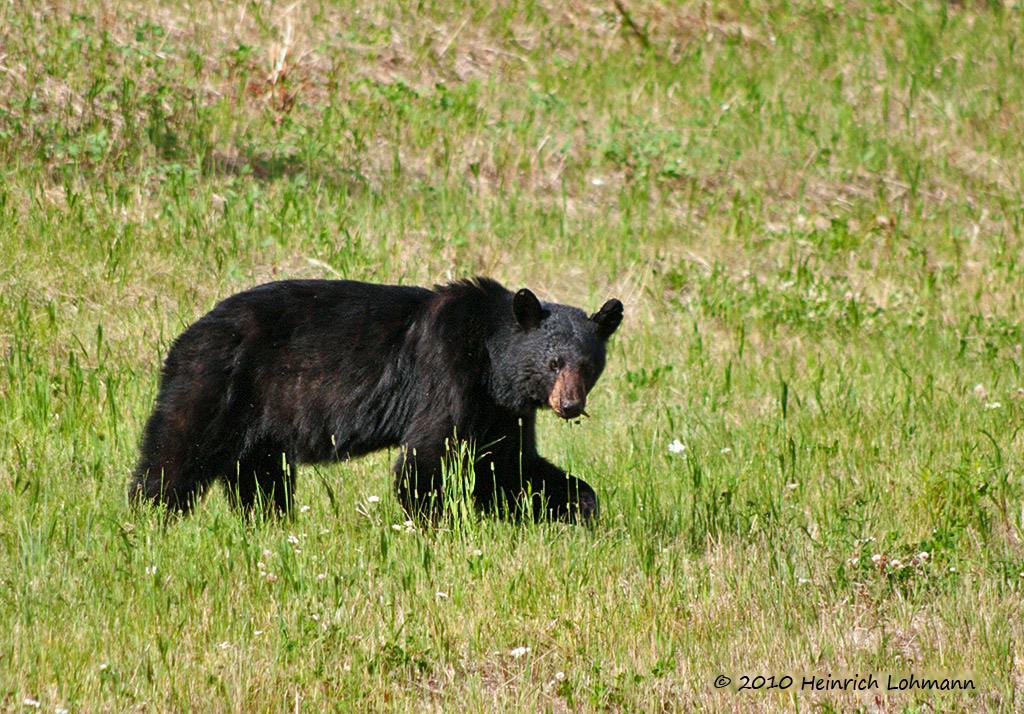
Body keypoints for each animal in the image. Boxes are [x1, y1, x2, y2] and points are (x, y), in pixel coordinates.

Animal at [130, 278, 622, 524]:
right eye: (554, 362)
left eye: (588, 364)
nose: (570, 405)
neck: (489, 359)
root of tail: (185, 336)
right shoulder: (448, 377)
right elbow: (428, 456)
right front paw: (433, 523)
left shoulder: (500, 410)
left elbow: (508, 463)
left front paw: (580, 508)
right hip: (217, 383)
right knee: (176, 451)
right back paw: (149, 517)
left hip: (259, 419)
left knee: (260, 476)